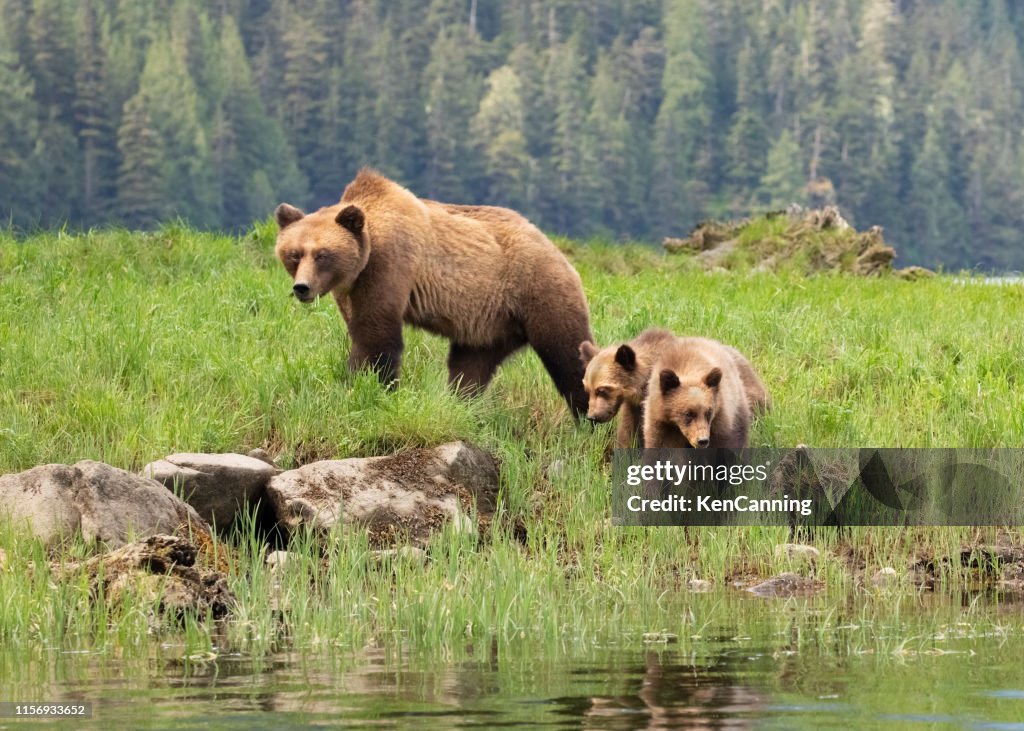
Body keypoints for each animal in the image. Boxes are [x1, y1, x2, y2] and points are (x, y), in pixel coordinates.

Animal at [274, 169, 593, 417]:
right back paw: (461, 404)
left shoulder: (390, 266)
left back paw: (588, 418)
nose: (302, 287)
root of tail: (556, 250)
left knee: (568, 354)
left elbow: (377, 336)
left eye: (322, 254)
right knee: (470, 366)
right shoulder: (351, 289)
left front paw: (368, 385)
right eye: (294, 254)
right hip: (489, 323)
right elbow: (360, 330)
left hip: (538, 290)